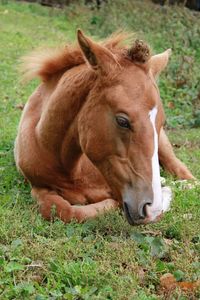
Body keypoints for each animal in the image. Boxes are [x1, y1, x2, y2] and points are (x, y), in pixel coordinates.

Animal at [14, 29, 194, 225]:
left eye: (161, 122)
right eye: (122, 121)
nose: (152, 210)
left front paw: (166, 194)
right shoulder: (38, 186)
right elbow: (59, 210)